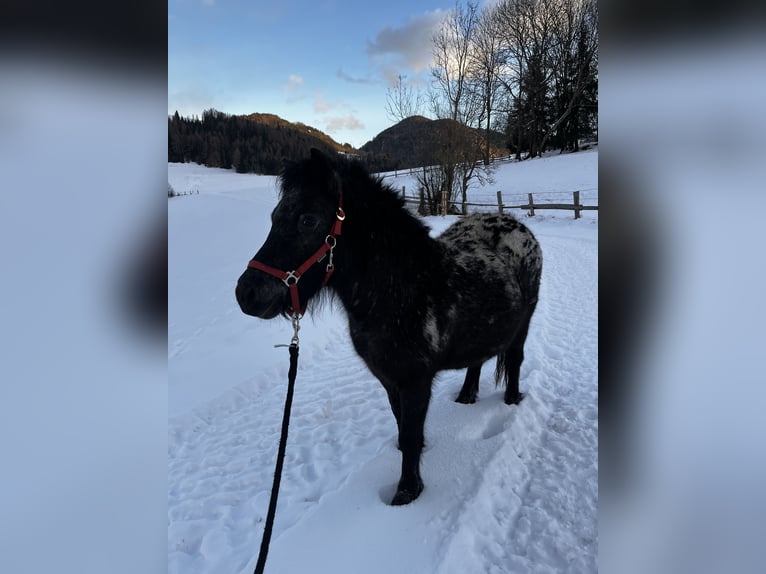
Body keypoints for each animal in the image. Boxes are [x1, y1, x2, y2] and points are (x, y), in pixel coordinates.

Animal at [237, 150, 544, 508]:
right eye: (275, 216)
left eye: (307, 220)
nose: (247, 294)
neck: (404, 289)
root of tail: (516, 225)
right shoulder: (387, 377)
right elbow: (402, 425)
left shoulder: (415, 381)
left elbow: (410, 434)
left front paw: (407, 493)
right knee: (477, 361)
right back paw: (467, 396)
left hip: (524, 322)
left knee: (515, 359)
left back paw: (511, 399)